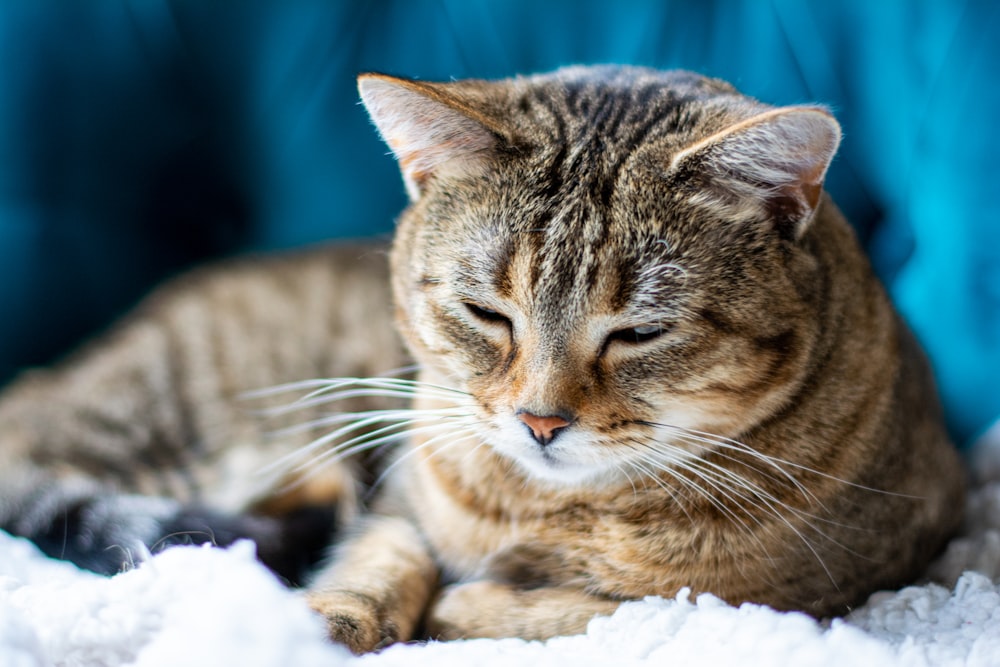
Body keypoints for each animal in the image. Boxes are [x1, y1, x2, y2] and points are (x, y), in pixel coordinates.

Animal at [0, 66, 968, 652]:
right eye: (486, 314)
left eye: (640, 332)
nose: (540, 420)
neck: (545, 511)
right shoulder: (398, 495)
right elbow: (379, 560)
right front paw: (330, 617)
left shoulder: (828, 586)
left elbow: (613, 604)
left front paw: (472, 603)